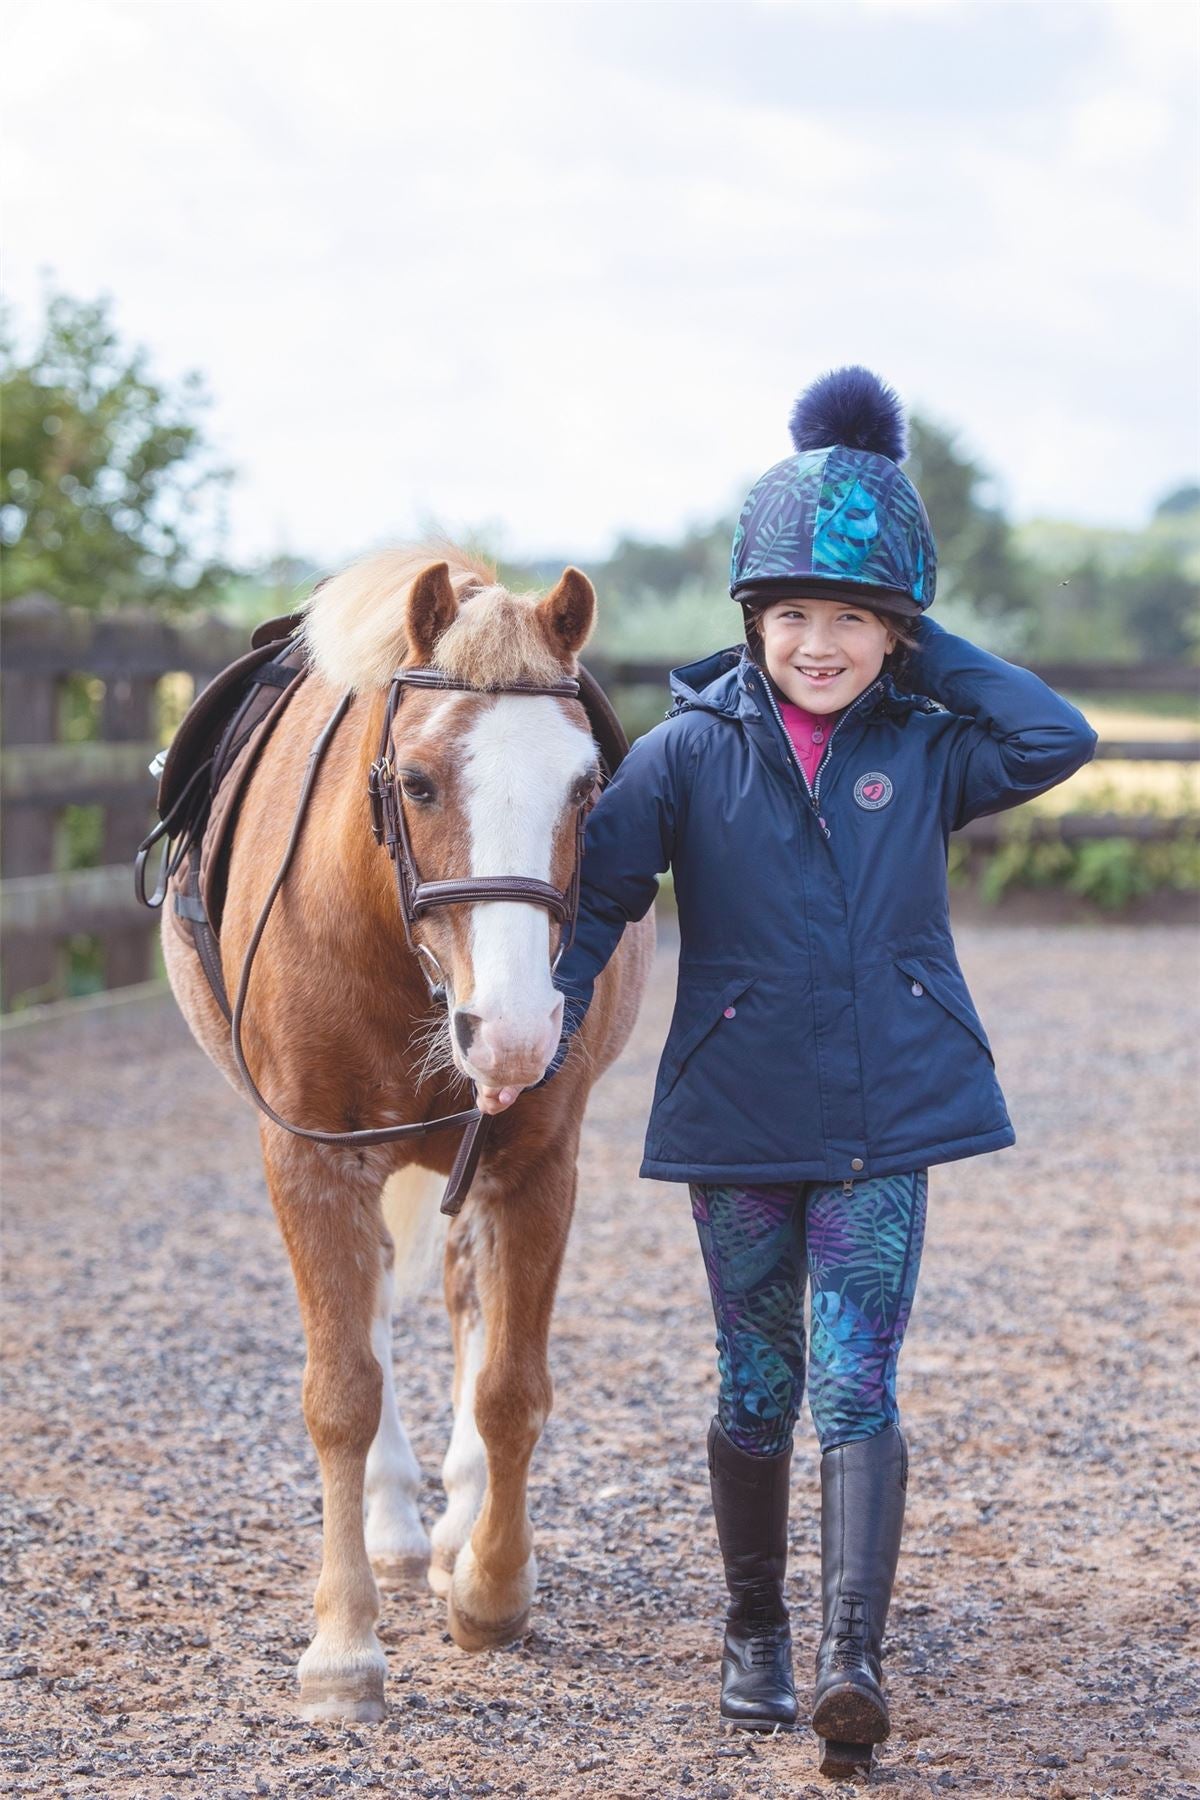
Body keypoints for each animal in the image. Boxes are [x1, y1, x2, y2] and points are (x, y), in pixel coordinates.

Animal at [161, 546, 655, 1721]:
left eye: (587, 788)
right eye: (420, 783)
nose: (515, 1031)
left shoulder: (537, 1161)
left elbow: (512, 1386)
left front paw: (491, 1588)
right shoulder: (308, 1157)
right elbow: (342, 1391)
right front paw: (343, 1647)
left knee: (468, 1304)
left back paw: (455, 1523)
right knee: (377, 1313)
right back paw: (391, 1527)